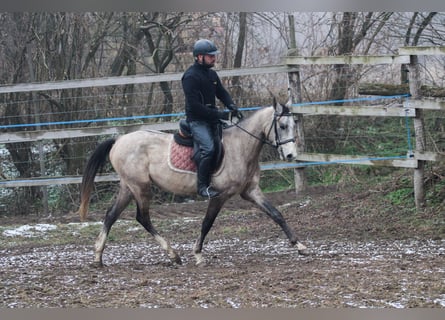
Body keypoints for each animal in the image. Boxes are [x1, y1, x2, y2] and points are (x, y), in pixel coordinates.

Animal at [79, 98, 308, 268]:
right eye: (282, 126)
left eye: (294, 125)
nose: (290, 155)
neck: (240, 146)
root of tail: (119, 140)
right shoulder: (219, 195)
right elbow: (207, 222)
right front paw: (198, 255)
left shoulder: (250, 191)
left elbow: (276, 214)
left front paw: (299, 245)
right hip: (140, 187)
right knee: (142, 217)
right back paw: (173, 255)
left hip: (128, 187)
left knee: (111, 215)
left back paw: (98, 257)